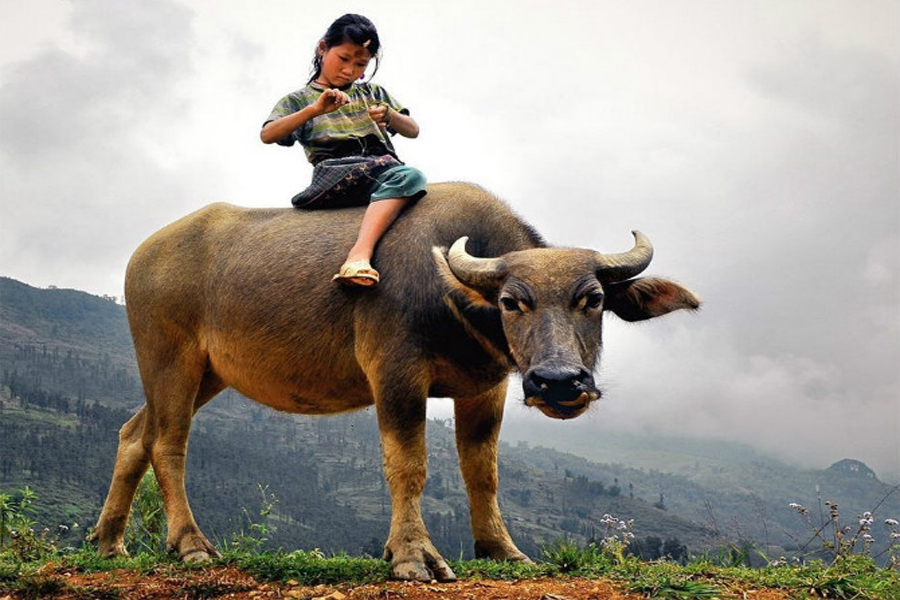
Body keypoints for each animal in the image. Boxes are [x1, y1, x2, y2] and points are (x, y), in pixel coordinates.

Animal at [93, 180, 696, 580]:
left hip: (208, 373)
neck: (455, 299)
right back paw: (190, 544)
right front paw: (411, 555)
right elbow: (408, 465)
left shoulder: (486, 387)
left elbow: (483, 472)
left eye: (591, 300)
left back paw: (109, 543)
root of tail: (143, 255)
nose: (558, 383)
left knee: (134, 434)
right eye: (512, 301)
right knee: (168, 442)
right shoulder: (395, 375)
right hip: (168, 357)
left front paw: (501, 549)